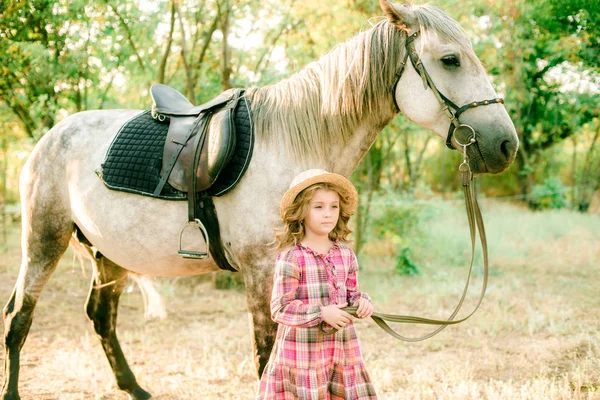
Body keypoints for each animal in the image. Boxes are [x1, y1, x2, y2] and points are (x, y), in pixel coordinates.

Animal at [1, 1, 516, 398]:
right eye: (450, 60)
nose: (505, 145)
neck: (292, 143)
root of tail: (50, 137)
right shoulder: (263, 271)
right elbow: (267, 358)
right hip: (44, 242)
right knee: (20, 319)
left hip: (109, 254)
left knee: (101, 319)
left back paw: (135, 388)